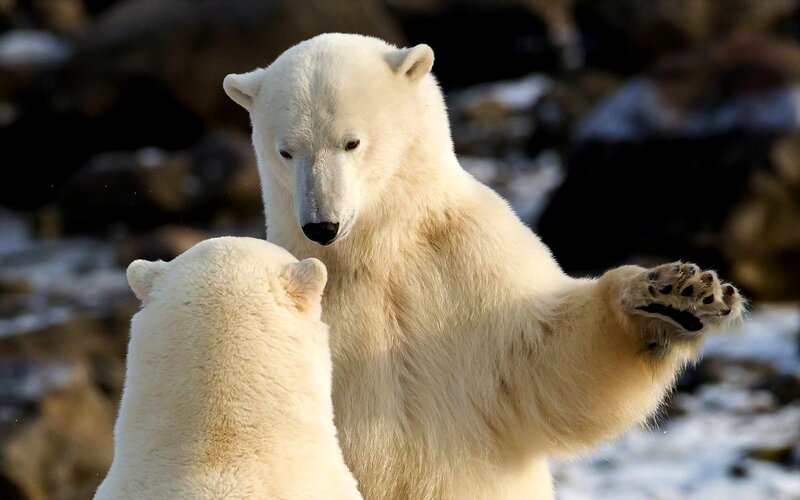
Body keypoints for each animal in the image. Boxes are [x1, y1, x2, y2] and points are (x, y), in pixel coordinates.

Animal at [223, 34, 745, 499]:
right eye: (285, 150)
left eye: (351, 142)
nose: (321, 225)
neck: (373, 248)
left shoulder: (471, 258)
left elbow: (549, 361)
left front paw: (676, 299)